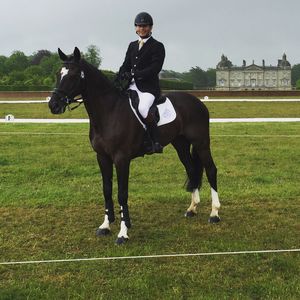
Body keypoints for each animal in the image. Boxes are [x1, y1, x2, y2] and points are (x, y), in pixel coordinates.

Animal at [47, 47, 220, 244]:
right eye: (58, 74)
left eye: (74, 75)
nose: (53, 105)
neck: (110, 111)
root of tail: (198, 102)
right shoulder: (102, 157)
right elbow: (107, 190)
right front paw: (105, 226)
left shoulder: (122, 159)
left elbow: (122, 193)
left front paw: (123, 233)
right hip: (181, 144)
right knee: (191, 170)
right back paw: (192, 209)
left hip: (201, 143)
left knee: (211, 170)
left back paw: (214, 214)